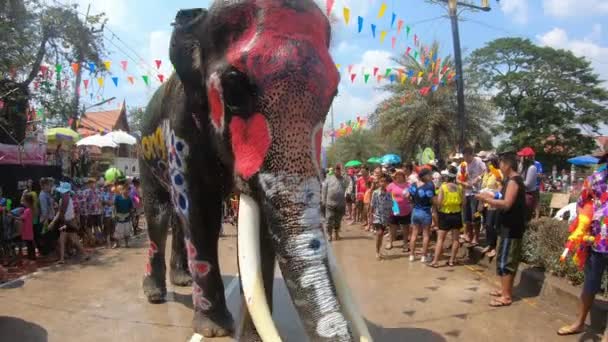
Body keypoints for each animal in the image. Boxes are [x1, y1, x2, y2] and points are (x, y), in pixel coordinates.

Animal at [140, 1, 372, 340]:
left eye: (334, 94)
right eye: (235, 90)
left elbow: (263, 231)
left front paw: (250, 335)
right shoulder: (180, 126)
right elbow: (199, 210)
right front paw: (214, 330)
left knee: (175, 218)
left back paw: (182, 279)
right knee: (158, 215)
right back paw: (155, 294)